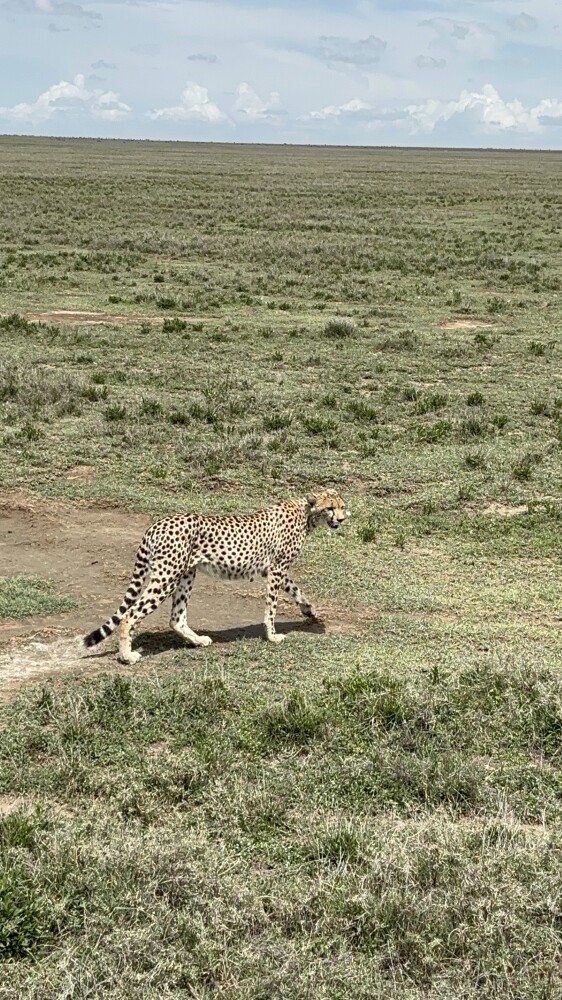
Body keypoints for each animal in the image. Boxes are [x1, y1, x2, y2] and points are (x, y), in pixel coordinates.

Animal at [82, 490, 348, 664]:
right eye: (330, 508)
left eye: (342, 506)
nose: (342, 519)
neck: (306, 514)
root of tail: (158, 524)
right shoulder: (276, 570)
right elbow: (272, 606)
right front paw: (272, 635)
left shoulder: (273, 570)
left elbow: (296, 590)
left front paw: (309, 611)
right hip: (167, 576)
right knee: (130, 614)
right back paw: (127, 655)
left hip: (186, 575)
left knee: (176, 618)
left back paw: (197, 641)